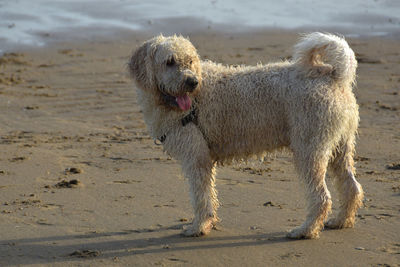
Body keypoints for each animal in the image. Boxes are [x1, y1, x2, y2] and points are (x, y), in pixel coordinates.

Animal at [130, 32, 364, 240]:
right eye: (169, 62)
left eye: (190, 60)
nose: (192, 82)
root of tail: (333, 75)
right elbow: (208, 195)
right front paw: (208, 222)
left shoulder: (196, 159)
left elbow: (201, 197)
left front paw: (198, 227)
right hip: (339, 147)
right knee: (351, 187)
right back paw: (341, 221)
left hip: (310, 150)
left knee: (321, 198)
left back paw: (305, 231)